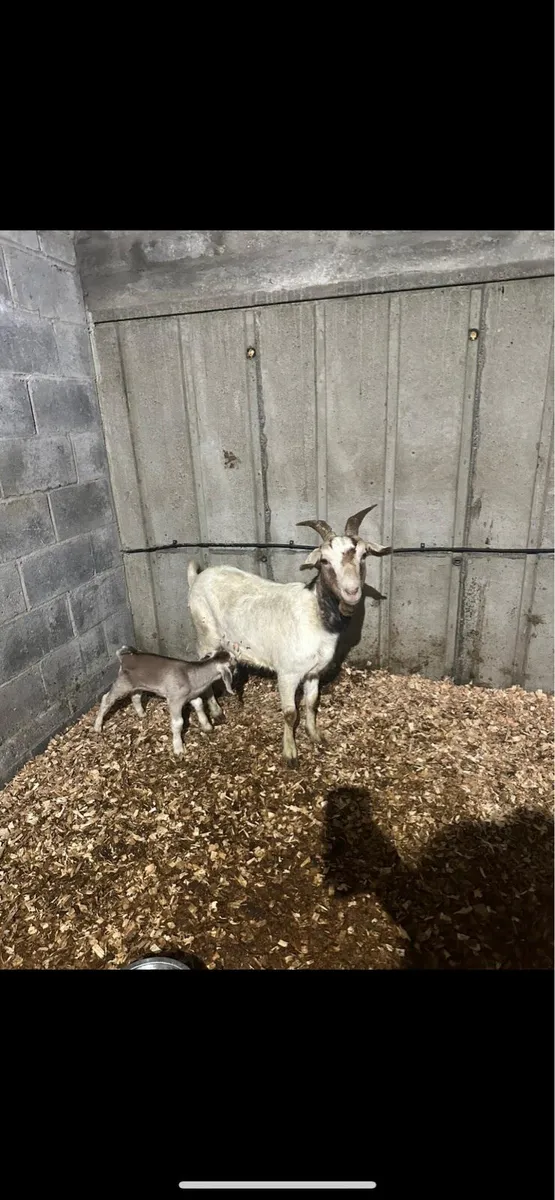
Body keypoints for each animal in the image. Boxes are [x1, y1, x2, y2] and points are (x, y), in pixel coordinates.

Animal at [94, 646, 234, 756]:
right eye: (233, 662)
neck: (192, 677)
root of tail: (125, 657)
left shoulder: (191, 695)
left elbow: (199, 704)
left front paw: (207, 726)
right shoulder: (174, 700)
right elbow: (178, 723)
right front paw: (179, 749)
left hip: (138, 684)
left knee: (135, 697)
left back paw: (142, 714)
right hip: (122, 684)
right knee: (106, 699)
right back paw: (97, 726)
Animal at [187, 506, 390, 766]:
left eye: (364, 555)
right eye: (324, 561)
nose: (352, 591)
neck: (315, 615)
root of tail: (197, 578)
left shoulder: (313, 672)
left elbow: (311, 704)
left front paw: (315, 735)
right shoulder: (287, 673)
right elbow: (290, 713)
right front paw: (290, 753)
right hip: (206, 635)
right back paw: (216, 713)